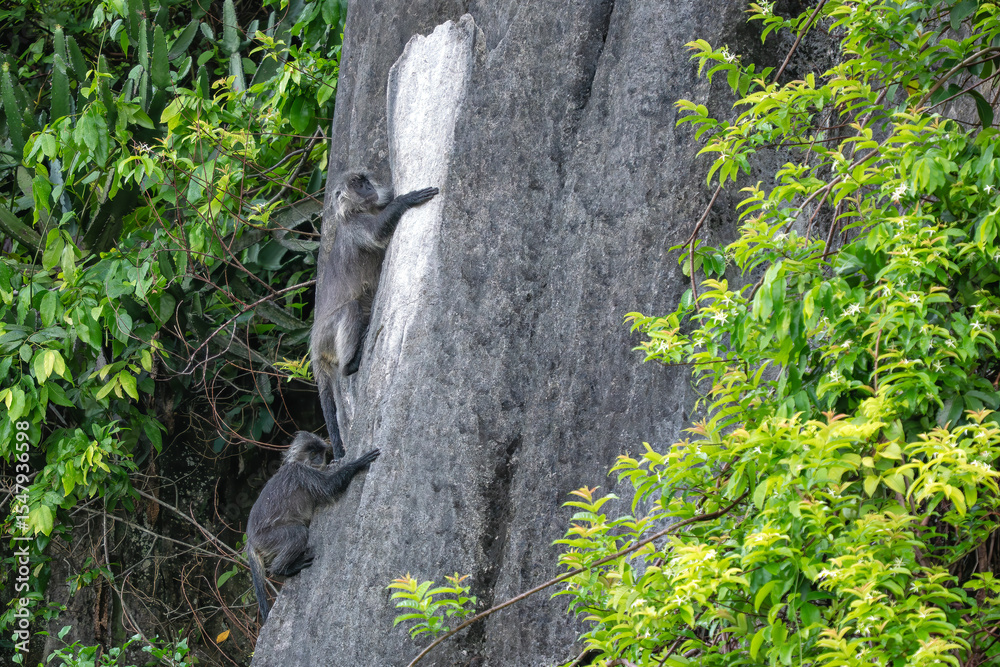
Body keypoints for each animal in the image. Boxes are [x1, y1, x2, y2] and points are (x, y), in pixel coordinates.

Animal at [246, 430, 380, 622]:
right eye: (313, 453)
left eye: (320, 453)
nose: (318, 459)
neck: (299, 463)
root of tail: (251, 540)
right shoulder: (302, 472)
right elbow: (328, 487)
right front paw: (358, 463)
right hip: (268, 538)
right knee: (298, 534)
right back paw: (283, 569)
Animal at [311, 170, 438, 454]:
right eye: (357, 185)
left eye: (365, 181)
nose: (368, 187)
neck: (359, 210)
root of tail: (315, 346)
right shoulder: (355, 226)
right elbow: (377, 232)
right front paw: (405, 200)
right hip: (327, 334)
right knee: (351, 309)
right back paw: (350, 365)